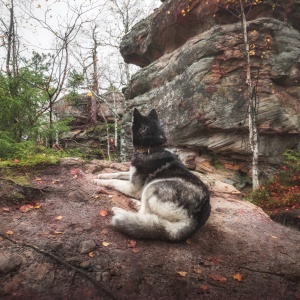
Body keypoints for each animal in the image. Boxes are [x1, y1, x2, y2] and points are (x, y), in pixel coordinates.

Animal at [94, 108, 211, 241]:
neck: (152, 148)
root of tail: (195, 219)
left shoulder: (134, 187)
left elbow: (115, 181)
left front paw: (100, 182)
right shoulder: (131, 174)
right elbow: (118, 173)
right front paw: (102, 175)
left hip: (153, 186)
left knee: (143, 214)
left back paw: (120, 211)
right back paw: (135, 203)